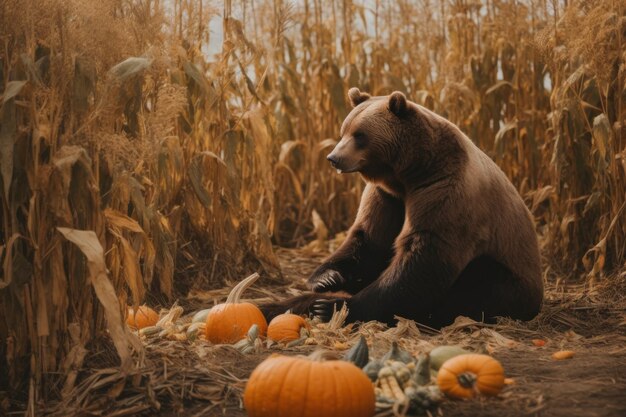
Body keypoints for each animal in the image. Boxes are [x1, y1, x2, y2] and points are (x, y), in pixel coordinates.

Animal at [258, 88, 540, 328]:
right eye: (343, 130)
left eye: (359, 135)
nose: (334, 158)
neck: (408, 174)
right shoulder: (387, 196)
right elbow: (368, 238)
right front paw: (326, 278)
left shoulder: (445, 192)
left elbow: (422, 259)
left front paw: (335, 307)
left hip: (509, 279)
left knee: (477, 286)